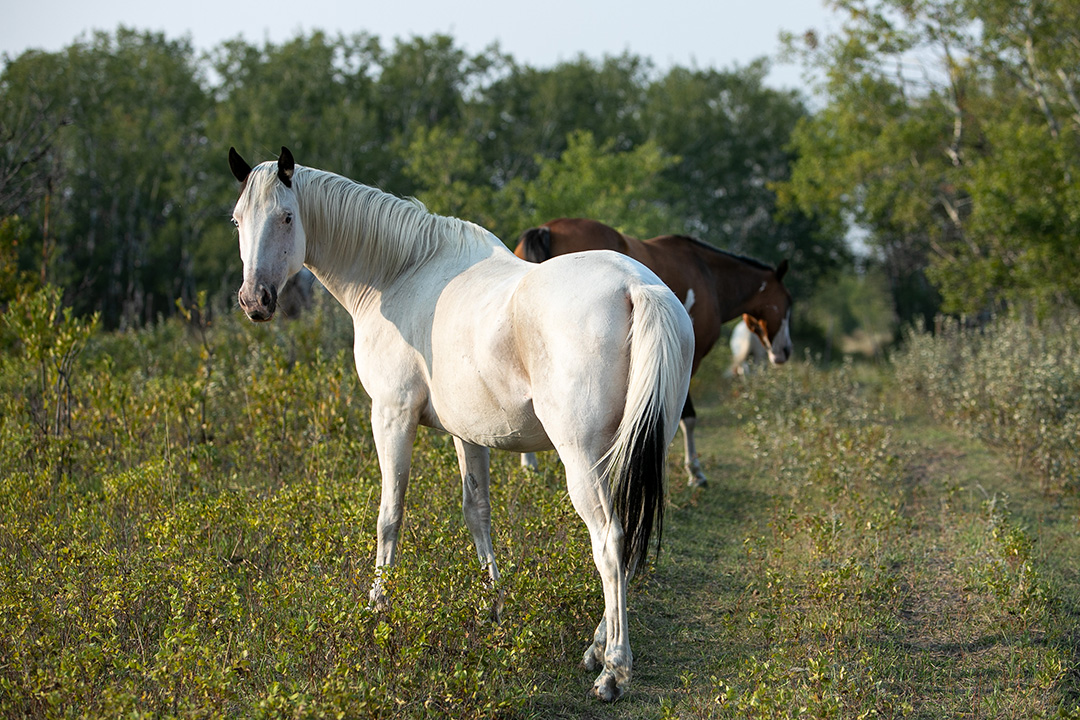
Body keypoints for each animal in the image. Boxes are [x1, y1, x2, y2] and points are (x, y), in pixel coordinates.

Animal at [232, 147, 695, 703]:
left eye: (286, 217)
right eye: (237, 220)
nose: (255, 300)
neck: (400, 272)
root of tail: (636, 286)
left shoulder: (391, 415)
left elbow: (390, 515)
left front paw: (377, 607)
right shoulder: (468, 433)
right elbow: (477, 512)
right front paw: (494, 605)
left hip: (582, 457)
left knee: (607, 540)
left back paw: (613, 670)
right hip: (630, 449)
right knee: (622, 538)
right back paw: (597, 647)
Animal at [509, 220, 790, 487]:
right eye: (787, 303)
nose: (785, 351)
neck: (706, 272)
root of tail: (547, 229)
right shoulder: (689, 360)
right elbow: (687, 417)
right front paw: (694, 472)